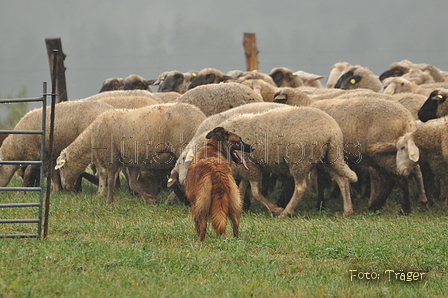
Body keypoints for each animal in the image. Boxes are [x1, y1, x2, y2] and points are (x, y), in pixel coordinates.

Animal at [54, 103, 206, 205]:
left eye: (61, 168)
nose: (66, 188)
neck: (92, 136)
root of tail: (200, 115)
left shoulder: (111, 157)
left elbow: (110, 180)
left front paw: (109, 201)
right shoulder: (132, 162)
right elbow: (133, 184)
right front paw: (150, 199)